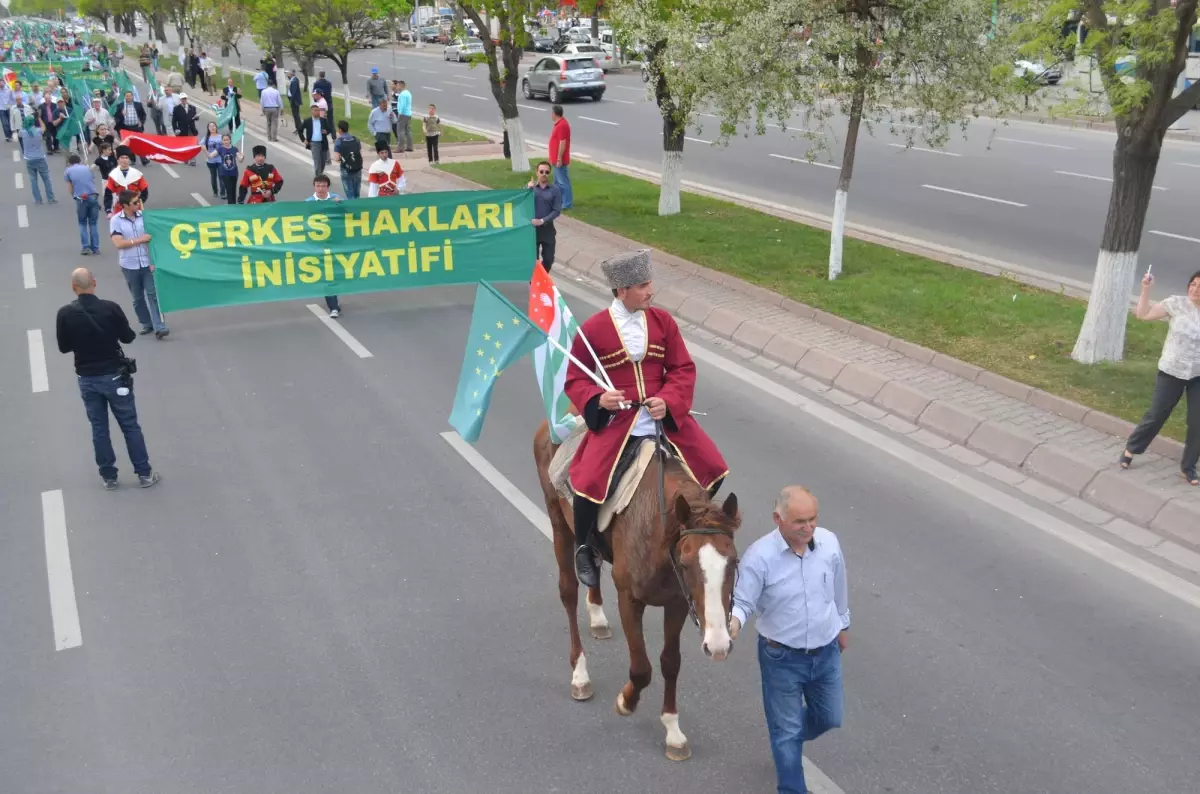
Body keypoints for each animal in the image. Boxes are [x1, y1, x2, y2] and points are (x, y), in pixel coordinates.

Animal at [535, 422, 739, 767]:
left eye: (734, 562)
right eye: (686, 563)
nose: (719, 645)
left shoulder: (677, 603)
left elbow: (670, 662)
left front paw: (673, 730)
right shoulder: (630, 598)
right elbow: (642, 668)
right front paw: (626, 701)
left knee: (592, 569)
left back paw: (598, 617)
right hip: (559, 522)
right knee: (568, 592)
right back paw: (580, 674)